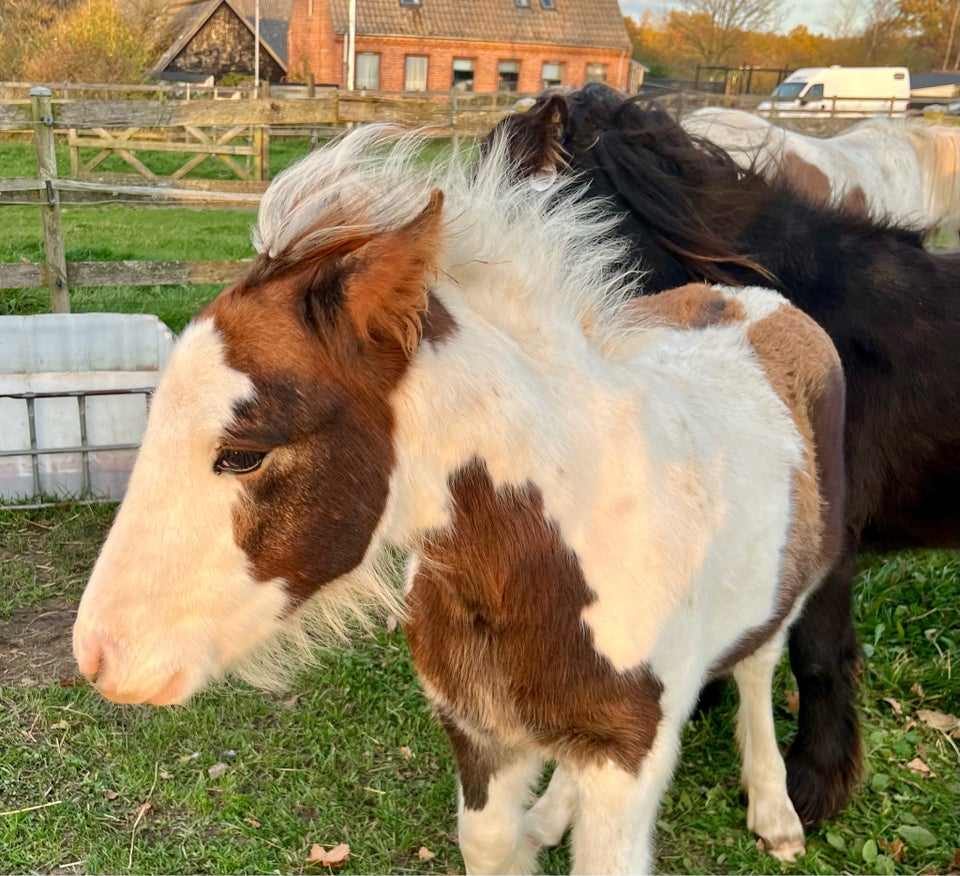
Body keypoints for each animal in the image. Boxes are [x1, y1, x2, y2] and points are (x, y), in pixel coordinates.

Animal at [73, 126, 840, 872]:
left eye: (243, 453)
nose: (99, 657)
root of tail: (756, 300)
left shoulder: (629, 756)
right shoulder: (480, 732)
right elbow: (491, 844)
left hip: (796, 583)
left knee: (759, 663)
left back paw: (775, 811)